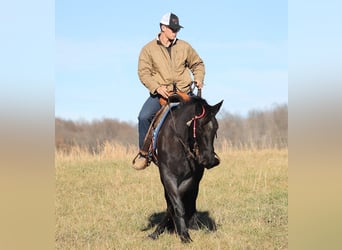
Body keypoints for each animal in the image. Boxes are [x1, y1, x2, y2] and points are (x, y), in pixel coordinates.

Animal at [148, 95, 223, 242]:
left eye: (216, 128)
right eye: (199, 128)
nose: (209, 160)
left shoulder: (192, 178)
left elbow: (177, 201)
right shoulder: (167, 174)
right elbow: (176, 203)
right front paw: (183, 235)